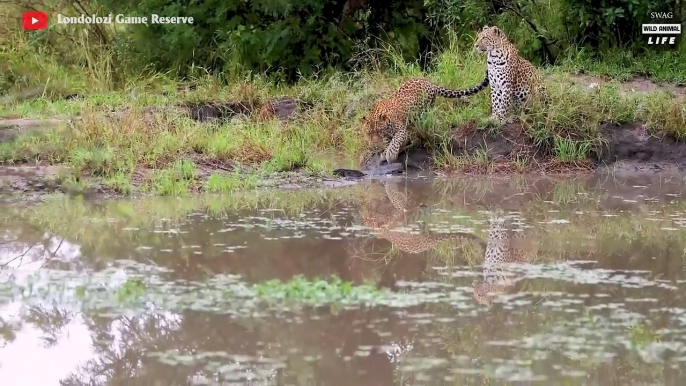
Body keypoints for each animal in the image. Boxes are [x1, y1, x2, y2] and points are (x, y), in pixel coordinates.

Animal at [358, 74, 492, 167]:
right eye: (369, 133)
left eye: (378, 131)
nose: (375, 143)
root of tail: (430, 83)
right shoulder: (387, 136)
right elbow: (388, 143)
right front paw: (385, 152)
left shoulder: (401, 130)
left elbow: (395, 141)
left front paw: (390, 155)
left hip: (422, 113)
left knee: (417, 138)